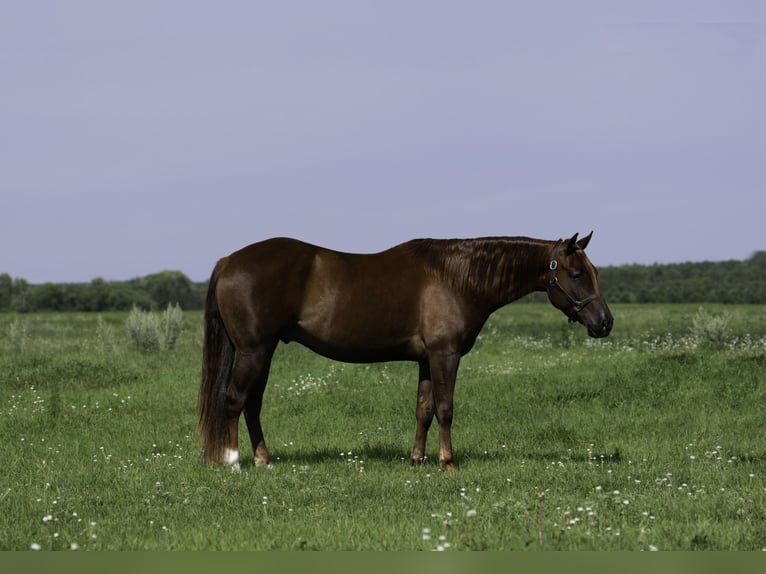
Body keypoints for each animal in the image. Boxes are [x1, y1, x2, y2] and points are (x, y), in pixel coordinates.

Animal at [197, 232, 613, 471]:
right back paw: (233, 464)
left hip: (264, 351)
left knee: (252, 404)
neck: (456, 278)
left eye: (594, 272)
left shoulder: (426, 360)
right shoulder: (445, 355)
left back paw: (264, 461)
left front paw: (416, 460)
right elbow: (445, 409)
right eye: (577, 274)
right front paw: (448, 464)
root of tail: (229, 261)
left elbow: (423, 410)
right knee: (234, 400)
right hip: (253, 350)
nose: (604, 322)